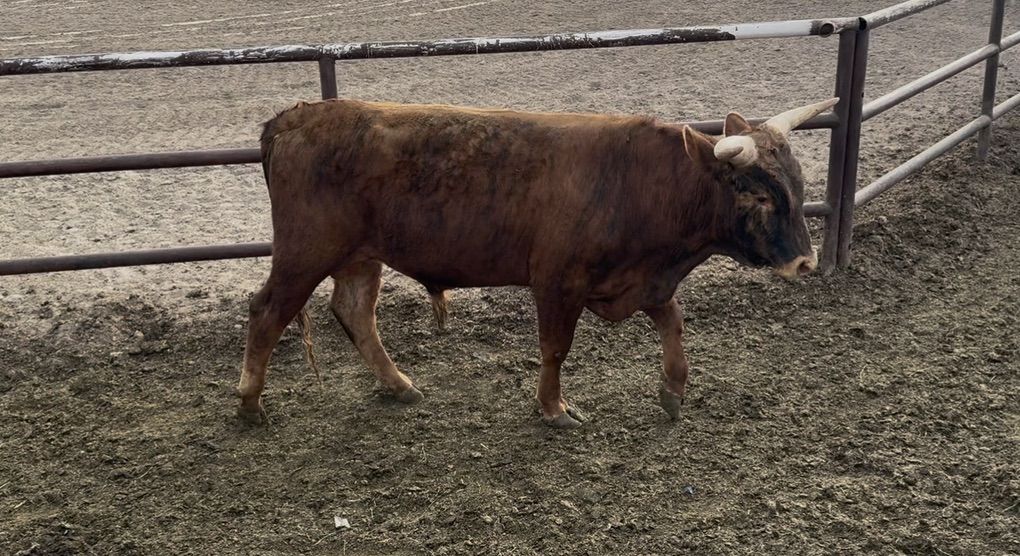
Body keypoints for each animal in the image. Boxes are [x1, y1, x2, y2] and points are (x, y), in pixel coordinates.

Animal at [235, 97, 835, 428]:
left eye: (797, 183)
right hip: (305, 252)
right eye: (757, 194)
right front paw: (553, 408)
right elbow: (555, 348)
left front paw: (673, 390)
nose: (806, 263)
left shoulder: (641, 282)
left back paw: (399, 384)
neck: (637, 182)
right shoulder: (557, 282)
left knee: (355, 312)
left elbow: (674, 325)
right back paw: (249, 404)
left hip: (360, 257)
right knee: (267, 314)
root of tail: (296, 118)